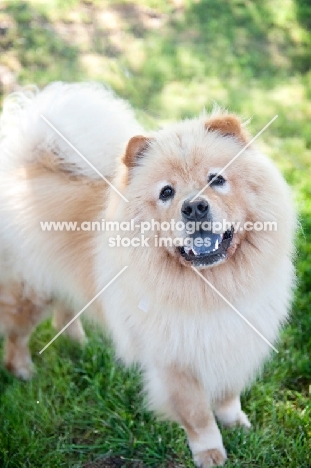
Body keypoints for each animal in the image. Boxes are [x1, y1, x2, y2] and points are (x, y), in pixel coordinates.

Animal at [0, 82, 296, 466]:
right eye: (166, 192)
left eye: (217, 179)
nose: (195, 206)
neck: (212, 288)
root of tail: (25, 165)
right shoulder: (175, 364)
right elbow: (198, 415)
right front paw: (210, 453)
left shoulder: (233, 342)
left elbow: (228, 394)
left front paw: (238, 425)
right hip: (28, 292)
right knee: (17, 335)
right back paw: (22, 369)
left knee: (65, 312)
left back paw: (77, 343)